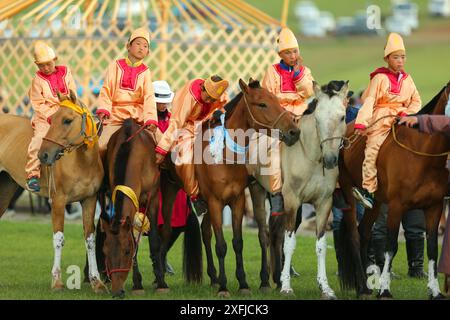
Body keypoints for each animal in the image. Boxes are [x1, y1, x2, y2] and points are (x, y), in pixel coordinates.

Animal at [0, 90, 107, 292]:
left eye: (67, 120)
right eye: (52, 119)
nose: (43, 155)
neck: (82, 162)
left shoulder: (89, 200)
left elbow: (90, 239)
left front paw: (96, 281)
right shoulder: (57, 202)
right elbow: (58, 239)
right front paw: (57, 281)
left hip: (6, 190)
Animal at [100, 119, 202, 298]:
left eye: (126, 251)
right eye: (105, 251)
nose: (117, 291)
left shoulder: (153, 198)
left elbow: (154, 240)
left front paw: (161, 282)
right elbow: (135, 239)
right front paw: (137, 284)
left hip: (170, 189)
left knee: (167, 231)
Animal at [193, 78, 298, 298]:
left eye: (276, 100)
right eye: (262, 104)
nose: (294, 131)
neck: (225, 157)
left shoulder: (238, 199)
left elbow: (238, 242)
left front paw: (243, 283)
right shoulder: (215, 202)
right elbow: (221, 245)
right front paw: (224, 287)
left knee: (207, 231)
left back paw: (215, 278)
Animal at [248, 80, 350, 300]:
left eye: (342, 116)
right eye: (317, 118)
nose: (330, 160)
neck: (312, 159)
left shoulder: (324, 203)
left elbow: (321, 245)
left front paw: (325, 287)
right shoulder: (292, 201)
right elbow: (289, 243)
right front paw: (287, 287)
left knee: (274, 234)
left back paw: (275, 278)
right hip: (258, 192)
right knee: (268, 234)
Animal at [338, 80, 450, 300]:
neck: (423, 154)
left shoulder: (434, 207)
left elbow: (433, 248)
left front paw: (435, 291)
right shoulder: (397, 207)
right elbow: (391, 247)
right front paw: (385, 289)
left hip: (377, 201)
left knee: (364, 232)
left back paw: (366, 283)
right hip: (346, 191)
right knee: (354, 235)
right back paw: (362, 288)